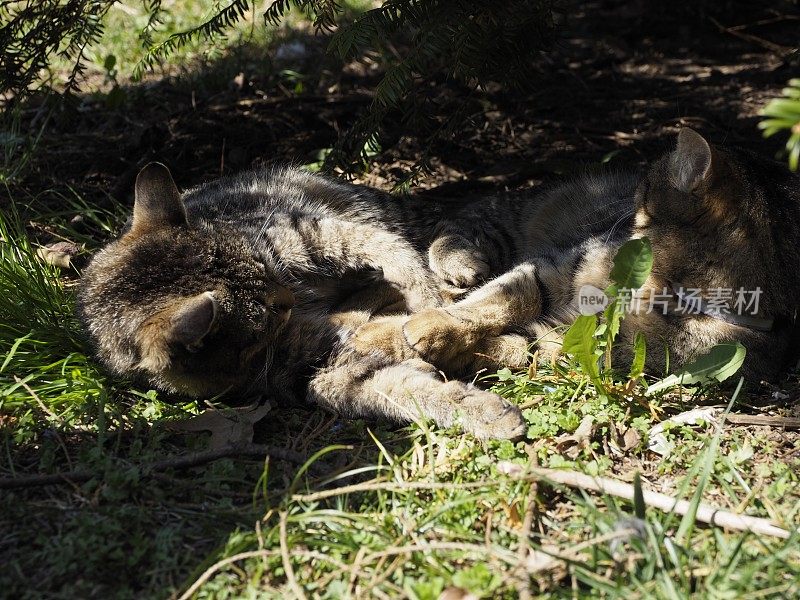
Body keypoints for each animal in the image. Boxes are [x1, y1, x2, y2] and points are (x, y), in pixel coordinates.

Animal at [78, 162, 528, 438]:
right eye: (264, 315)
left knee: (443, 223)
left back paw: (453, 262)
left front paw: (427, 297)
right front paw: (478, 403)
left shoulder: (306, 231)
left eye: (263, 264)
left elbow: (391, 250)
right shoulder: (317, 368)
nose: (288, 298)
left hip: (365, 207)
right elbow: (399, 388)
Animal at [356, 129, 800, 382]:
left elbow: (512, 345)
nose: (633, 190)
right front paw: (411, 330)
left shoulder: (579, 343)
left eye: (646, 186)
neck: (659, 285)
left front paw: (423, 342)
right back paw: (459, 267)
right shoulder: (551, 270)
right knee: (465, 221)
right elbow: (499, 300)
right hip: (520, 215)